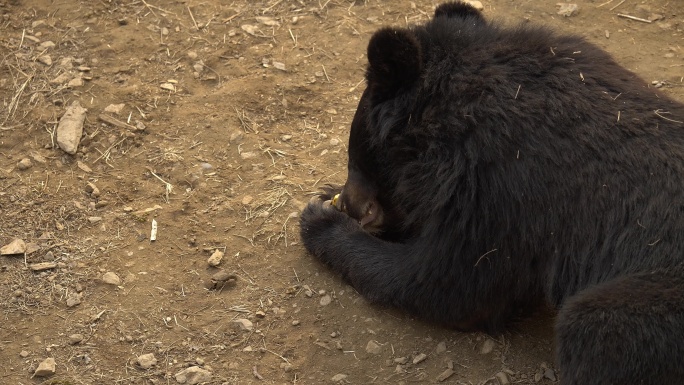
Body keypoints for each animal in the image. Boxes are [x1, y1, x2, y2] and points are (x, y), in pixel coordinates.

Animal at [302, 1, 684, 382]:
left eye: (357, 150)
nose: (349, 203)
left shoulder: (497, 191)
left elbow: (445, 283)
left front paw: (319, 220)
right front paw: (326, 196)